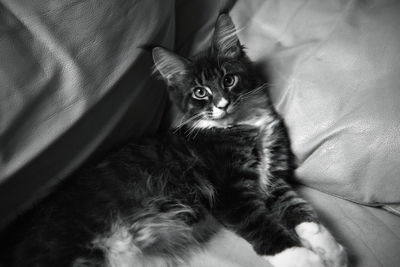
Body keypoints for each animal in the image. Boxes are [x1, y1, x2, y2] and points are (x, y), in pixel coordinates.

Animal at [0, 14, 346, 267]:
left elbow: (298, 208)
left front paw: (328, 247)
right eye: (200, 92)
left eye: (228, 80)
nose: (222, 104)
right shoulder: (231, 192)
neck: (244, 124)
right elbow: (265, 229)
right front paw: (306, 258)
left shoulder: (272, 176)